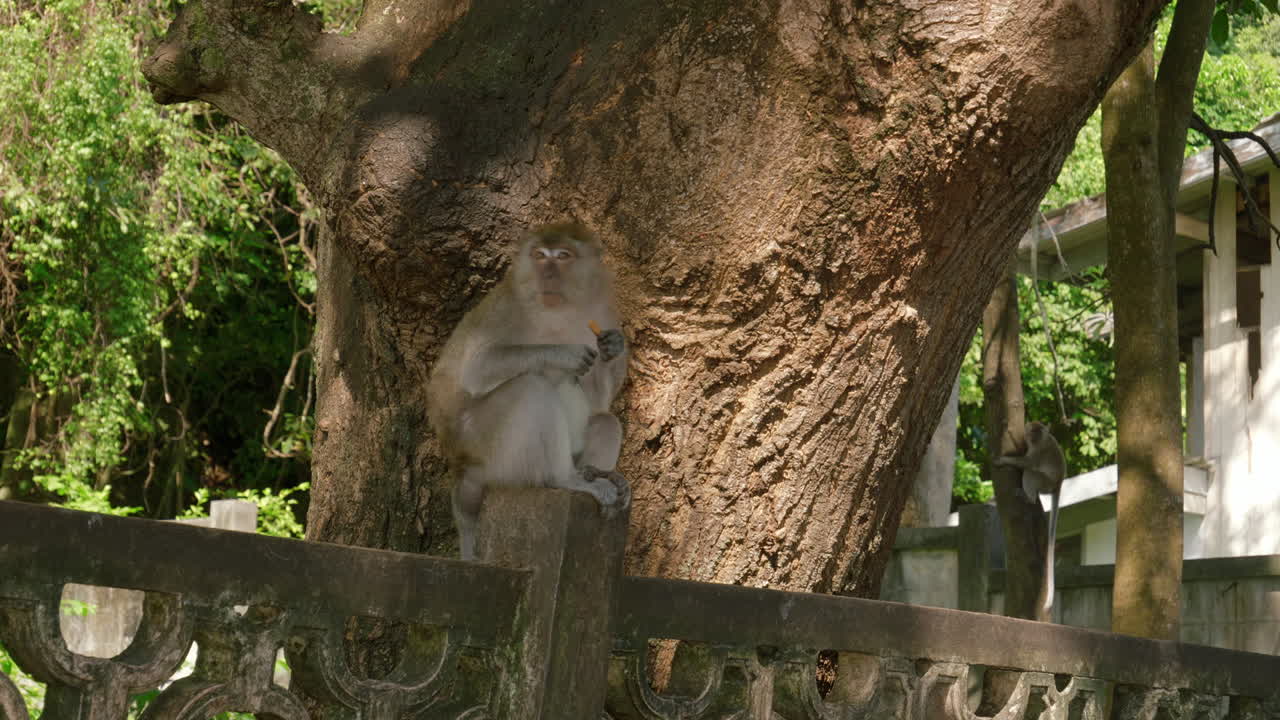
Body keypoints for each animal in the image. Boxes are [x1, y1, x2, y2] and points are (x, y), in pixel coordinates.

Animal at [427, 222, 630, 560]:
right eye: (540, 255)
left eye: (563, 256)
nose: (547, 274)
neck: (558, 311)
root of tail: (463, 466)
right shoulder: (507, 307)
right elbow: (477, 368)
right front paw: (563, 354)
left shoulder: (600, 312)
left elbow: (599, 401)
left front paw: (613, 347)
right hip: (490, 450)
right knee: (530, 387)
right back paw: (567, 479)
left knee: (605, 421)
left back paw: (594, 472)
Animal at [995, 421, 1066, 618]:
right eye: (1033, 430)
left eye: (1038, 432)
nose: (1033, 436)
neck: (1039, 442)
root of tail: (1058, 483)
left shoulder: (1038, 452)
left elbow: (1027, 462)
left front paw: (1004, 460)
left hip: (1045, 482)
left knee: (1030, 473)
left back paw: (1028, 498)